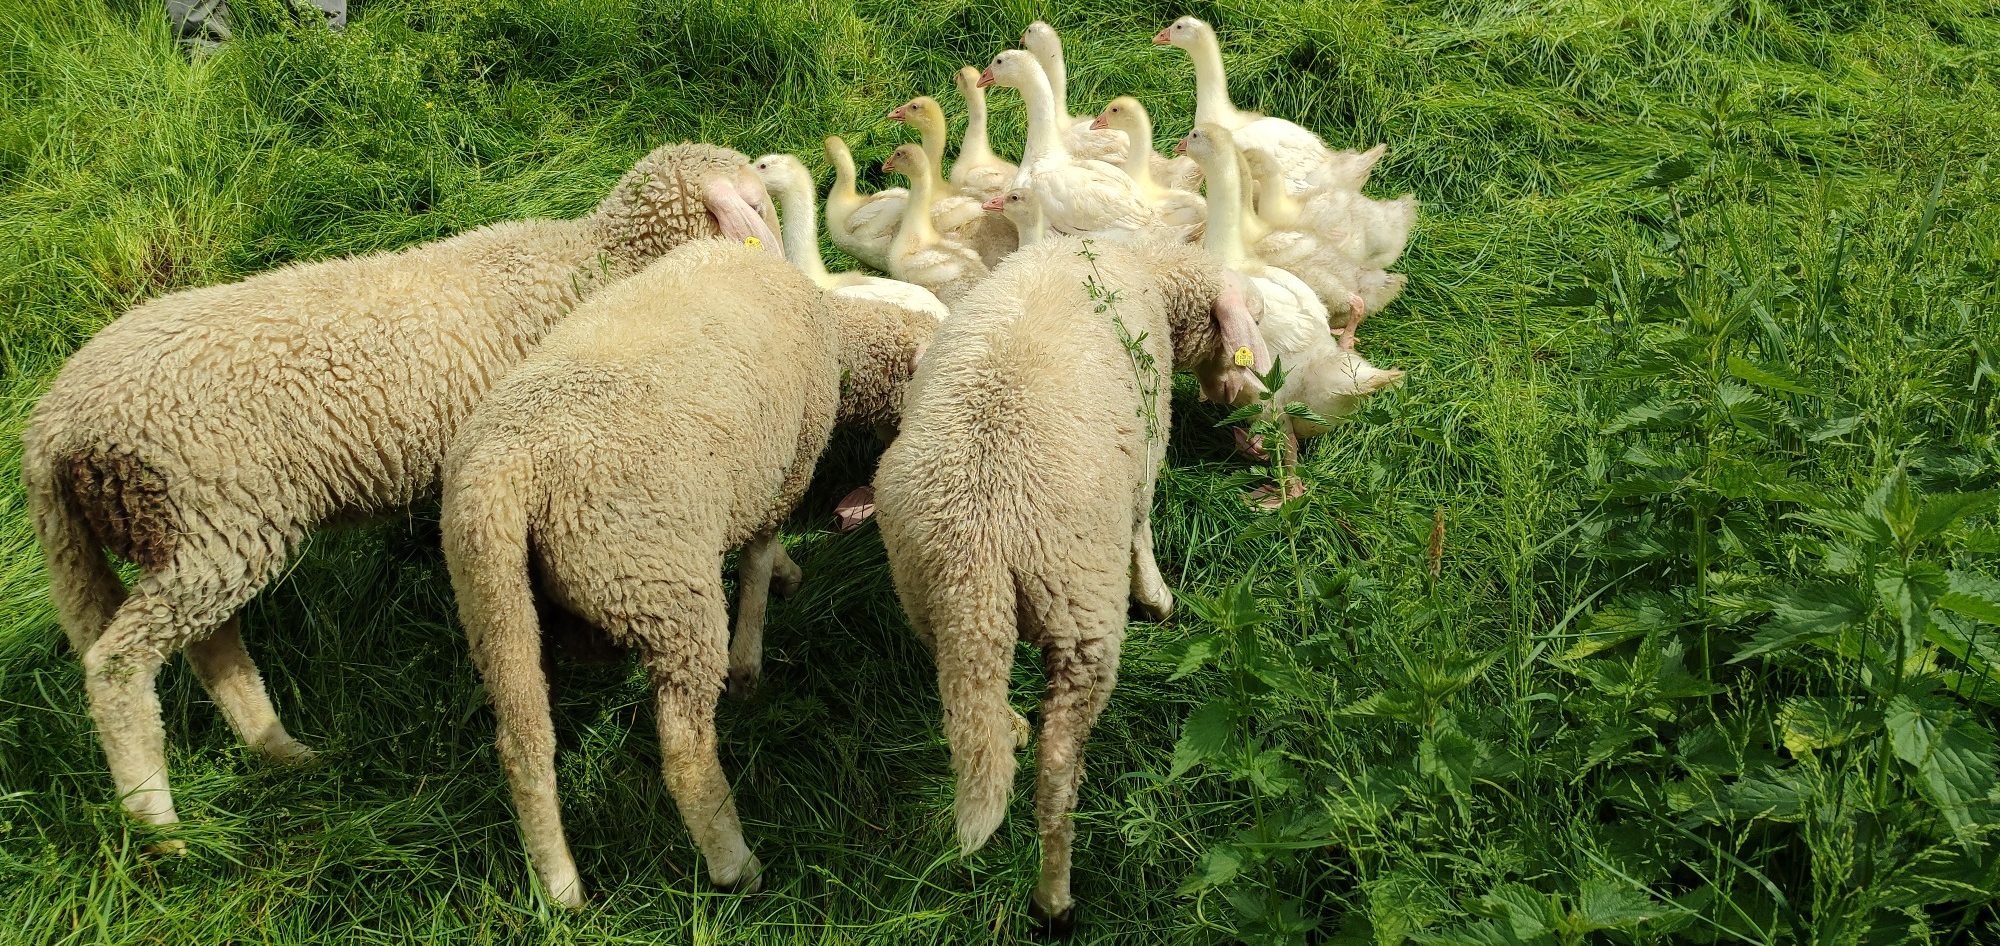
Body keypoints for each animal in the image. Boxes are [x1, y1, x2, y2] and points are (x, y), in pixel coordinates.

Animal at [21, 142, 777, 843]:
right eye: (758, 202)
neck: (598, 256)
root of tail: (54, 425)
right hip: (208, 522)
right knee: (118, 668)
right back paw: (157, 823)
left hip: (198, 538)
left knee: (210, 648)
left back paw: (279, 751)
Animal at [440, 237, 934, 908]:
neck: (837, 334)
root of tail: (512, 471)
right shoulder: (783, 466)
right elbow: (756, 557)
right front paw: (753, 653)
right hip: (661, 589)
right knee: (684, 750)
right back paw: (735, 864)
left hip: (492, 600)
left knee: (525, 746)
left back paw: (562, 889)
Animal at [872, 236, 1269, 932]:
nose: (1231, 398)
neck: (1146, 266)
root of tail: (979, 541)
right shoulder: (1147, 440)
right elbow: (1141, 525)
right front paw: (1158, 597)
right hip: (1081, 614)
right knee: (1057, 769)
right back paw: (1055, 893)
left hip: (926, 594)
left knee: (965, 688)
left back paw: (1006, 725)